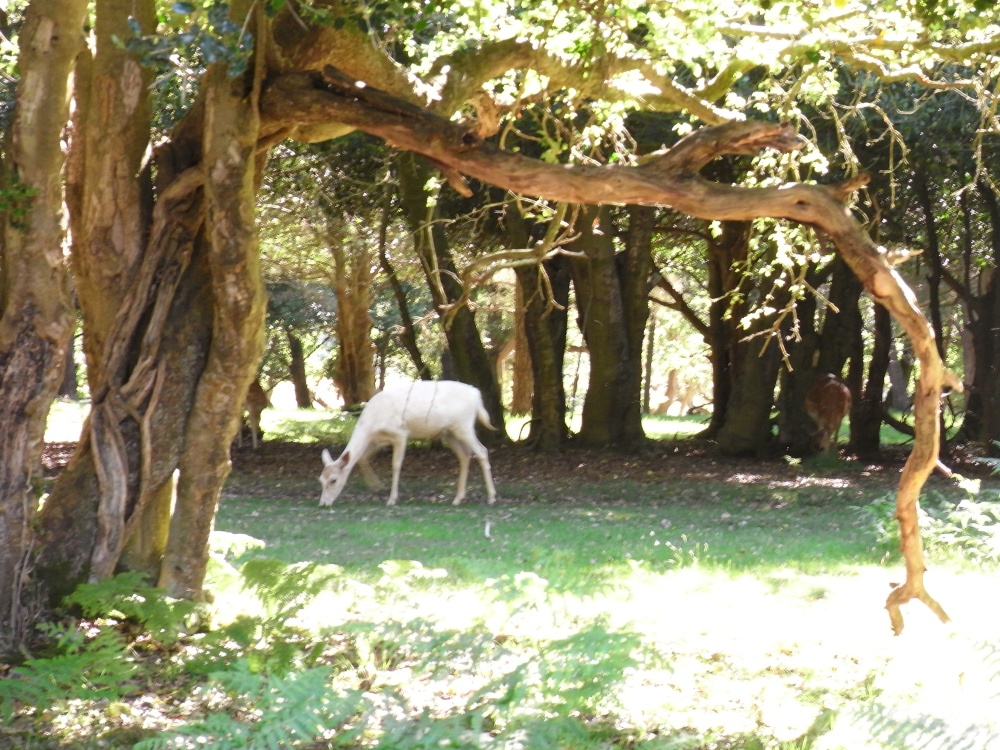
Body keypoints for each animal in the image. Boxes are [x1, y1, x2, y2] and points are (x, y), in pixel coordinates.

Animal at [319, 380, 498, 506]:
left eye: (333, 480)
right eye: (320, 480)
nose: (323, 504)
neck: (372, 424)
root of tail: (477, 396)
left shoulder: (400, 433)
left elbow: (396, 465)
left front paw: (392, 499)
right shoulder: (378, 440)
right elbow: (362, 458)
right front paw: (377, 486)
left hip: (463, 426)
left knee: (482, 451)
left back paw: (491, 497)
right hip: (449, 433)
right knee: (465, 455)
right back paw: (458, 498)